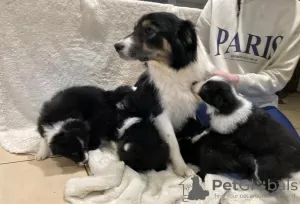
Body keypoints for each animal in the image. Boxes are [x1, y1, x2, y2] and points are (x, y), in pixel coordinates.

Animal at [113, 11, 213, 176]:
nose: (116, 46)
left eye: (149, 30)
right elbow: (173, 142)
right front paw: (182, 169)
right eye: (135, 28)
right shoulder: (160, 113)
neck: (174, 70)